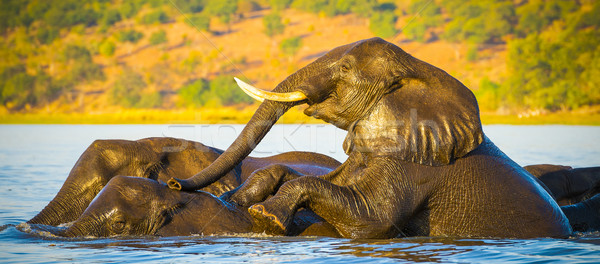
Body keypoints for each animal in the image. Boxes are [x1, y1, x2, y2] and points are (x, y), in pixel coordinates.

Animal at [166, 37, 592, 239]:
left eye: (344, 67)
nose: (173, 183)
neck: (416, 70)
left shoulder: (416, 166)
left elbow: (372, 219)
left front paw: (265, 216)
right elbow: (310, 176)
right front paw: (235, 200)